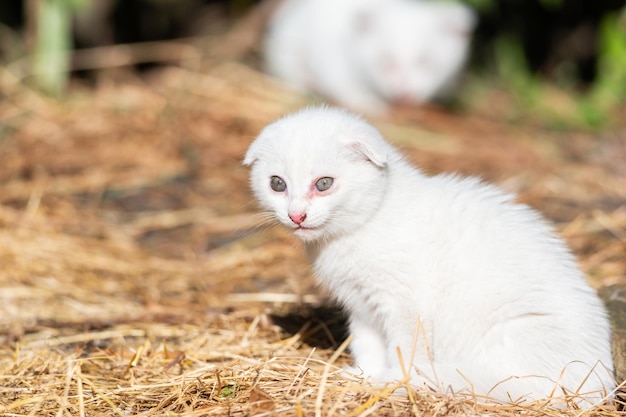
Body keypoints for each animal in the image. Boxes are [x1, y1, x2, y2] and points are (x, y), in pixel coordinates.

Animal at [244, 106, 616, 406]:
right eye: (277, 184)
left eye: (324, 184)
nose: (296, 216)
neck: (368, 221)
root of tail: (598, 388)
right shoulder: (362, 306)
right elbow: (367, 345)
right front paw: (365, 375)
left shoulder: (406, 304)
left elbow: (403, 350)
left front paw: (392, 381)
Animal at [262, 0, 472, 114]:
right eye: (385, 62)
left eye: (425, 61)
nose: (404, 96)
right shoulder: (331, 55)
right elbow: (342, 82)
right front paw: (367, 103)